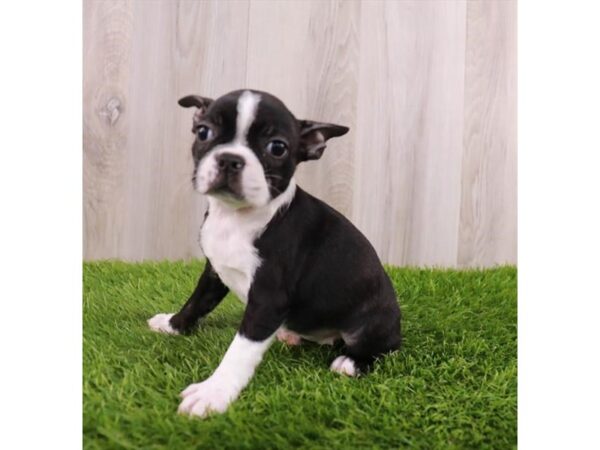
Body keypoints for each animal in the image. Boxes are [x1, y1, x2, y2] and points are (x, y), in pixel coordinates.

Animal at [149, 89, 404, 416]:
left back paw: (351, 362)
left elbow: (240, 350)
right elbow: (196, 303)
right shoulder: (214, 272)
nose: (230, 159)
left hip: (374, 323)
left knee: (382, 349)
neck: (236, 218)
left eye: (277, 148)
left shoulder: (268, 300)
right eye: (203, 132)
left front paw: (213, 392)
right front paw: (173, 325)